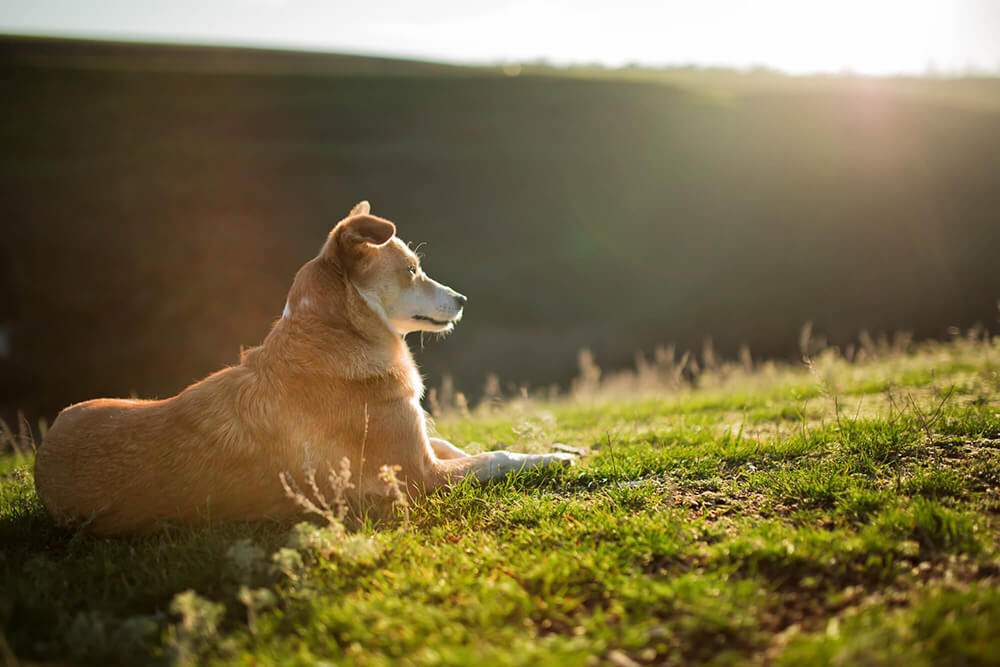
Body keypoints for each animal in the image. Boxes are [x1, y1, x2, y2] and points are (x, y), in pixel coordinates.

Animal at [35, 201, 576, 536]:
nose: (463, 300)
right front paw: (553, 459)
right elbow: (494, 457)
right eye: (411, 271)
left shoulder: (423, 445)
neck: (339, 341)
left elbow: (465, 446)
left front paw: (563, 447)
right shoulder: (419, 477)